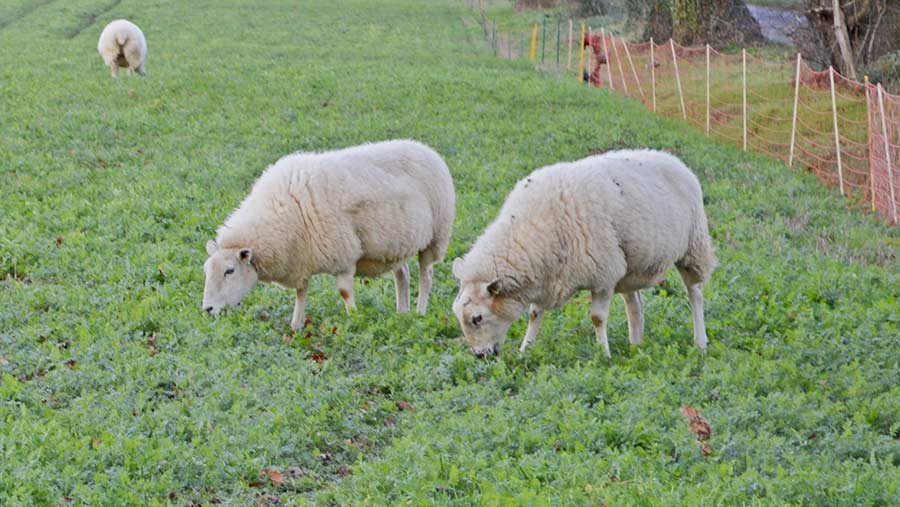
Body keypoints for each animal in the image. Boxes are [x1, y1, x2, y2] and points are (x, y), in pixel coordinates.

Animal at [205, 140, 458, 330]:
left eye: (230, 271)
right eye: (206, 271)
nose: (206, 309)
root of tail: (427, 149)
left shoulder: (343, 256)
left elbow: (344, 292)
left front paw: (354, 319)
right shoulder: (301, 257)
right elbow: (301, 292)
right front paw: (296, 325)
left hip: (435, 236)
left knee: (426, 276)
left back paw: (420, 312)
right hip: (396, 243)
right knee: (402, 274)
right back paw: (402, 313)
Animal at [450, 150, 716, 358]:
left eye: (477, 318)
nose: (480, 356)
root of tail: (673, 159)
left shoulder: (604, 276)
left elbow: (597, 318)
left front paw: (603, 354)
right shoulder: (546, 277)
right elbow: (535, 314)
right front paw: (525, 349)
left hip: (693, 247)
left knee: (695, 294)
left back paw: (700, 343)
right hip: (630, 265)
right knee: (635, 305)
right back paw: (635, 345)